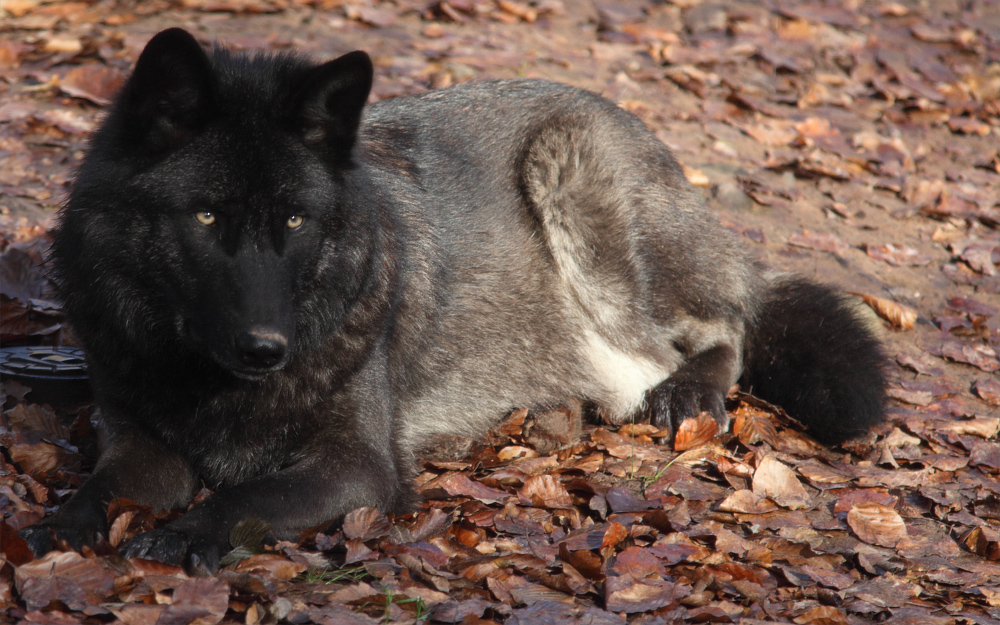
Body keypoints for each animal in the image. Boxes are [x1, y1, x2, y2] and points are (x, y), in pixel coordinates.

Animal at [21, 29, 884, 572]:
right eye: (205, 217)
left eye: (295, 220)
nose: (267, 347)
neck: (206, 382)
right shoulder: (139, 439)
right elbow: (105, 483)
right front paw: (63, 523)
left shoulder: (359, 466)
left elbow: (248, 492)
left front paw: (189, 533)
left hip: (574, 174)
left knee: (727, 322)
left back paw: (691, 389)